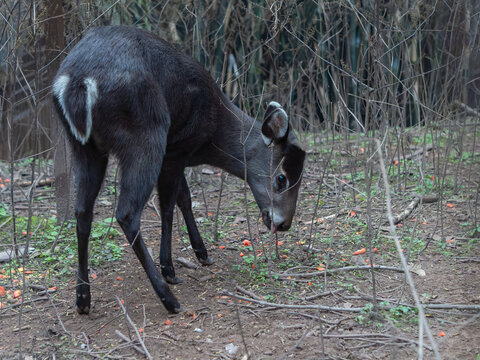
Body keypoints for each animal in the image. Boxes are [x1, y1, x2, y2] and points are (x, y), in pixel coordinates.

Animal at [52, 26, 306, 314]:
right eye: (282, 178)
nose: (283, 224)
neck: (212, 131)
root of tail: (77, 82)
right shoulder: (173, 152)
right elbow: (168, 206)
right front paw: (170, 268)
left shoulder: (177, 155)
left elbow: (185, 198)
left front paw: (202, 253)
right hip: (146, 135)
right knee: (127, 213)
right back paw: (169, 299)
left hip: (84, 146)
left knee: (83, 210)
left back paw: (83, 298)